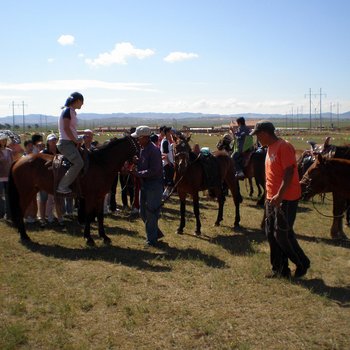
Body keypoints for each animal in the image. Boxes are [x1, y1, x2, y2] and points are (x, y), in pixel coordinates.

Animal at [7, 137, 138, 246]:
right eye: (138, 146)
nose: (137, 160)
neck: (101, 164)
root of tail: (18, 160)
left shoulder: (100, 197)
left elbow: (100, 216)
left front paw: (104, 236)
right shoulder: (90, 197)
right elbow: (88, 215)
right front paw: (88, 238)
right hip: (25, 193)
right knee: (20, 212)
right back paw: (24, 236)